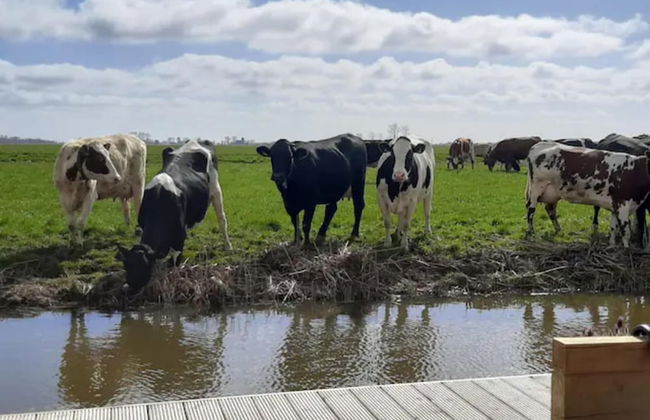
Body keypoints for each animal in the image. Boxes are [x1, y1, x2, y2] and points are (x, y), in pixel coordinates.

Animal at [116, 139, 232, 293]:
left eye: (143, 268)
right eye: (126, 265)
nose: (128, 289)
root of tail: (197, 141)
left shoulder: (179, 238)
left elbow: (175, 263)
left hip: (215, 189)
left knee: (222, 219)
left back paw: (228, 245)